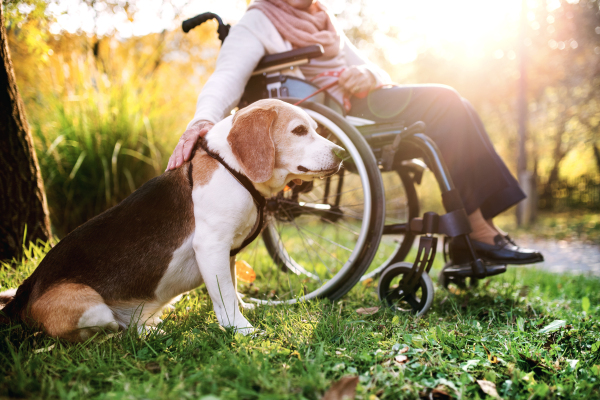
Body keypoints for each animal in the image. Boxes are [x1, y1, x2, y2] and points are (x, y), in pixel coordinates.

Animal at [0, 99, 344, 340]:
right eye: (299, 131)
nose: (342, 152)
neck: (233, 168)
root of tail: (27, 290)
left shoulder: (228, 253)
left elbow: (232, 290)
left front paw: (244, 310)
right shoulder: (211, 246)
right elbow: (225, 298)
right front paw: (242, 330)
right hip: (90, 306)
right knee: (110, 334)